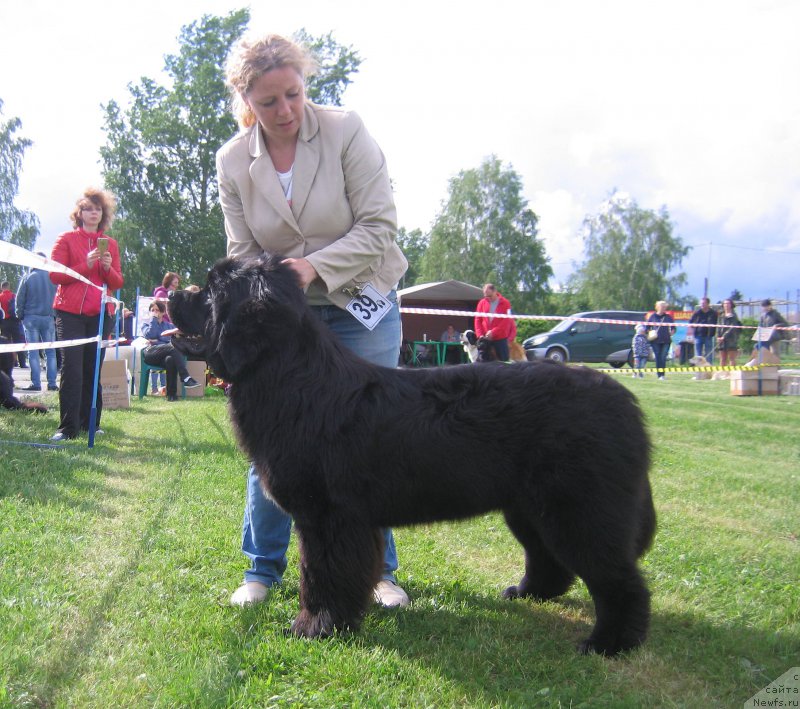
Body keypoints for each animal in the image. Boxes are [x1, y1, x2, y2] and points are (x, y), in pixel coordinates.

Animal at [170, 254, 656, 652]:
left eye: (211, 290)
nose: (170, 294)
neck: (291, 376)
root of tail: (623, 400)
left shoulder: (329, 516)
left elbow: (321, 575)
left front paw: (314, 627)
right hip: (530, 507)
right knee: (549, 558)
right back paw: (527, 593)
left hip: (579, 508)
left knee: (618, 578)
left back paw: (610, 643)